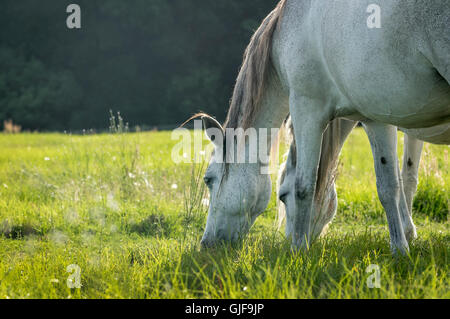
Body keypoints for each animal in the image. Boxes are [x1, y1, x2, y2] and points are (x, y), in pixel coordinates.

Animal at [195, 0, 448, 255]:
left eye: (208, 179)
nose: (206, 244)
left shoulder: (308, 108)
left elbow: (306, 185)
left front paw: (298, 250)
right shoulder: (386, 120)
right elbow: (397, 182)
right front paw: (404, 242)